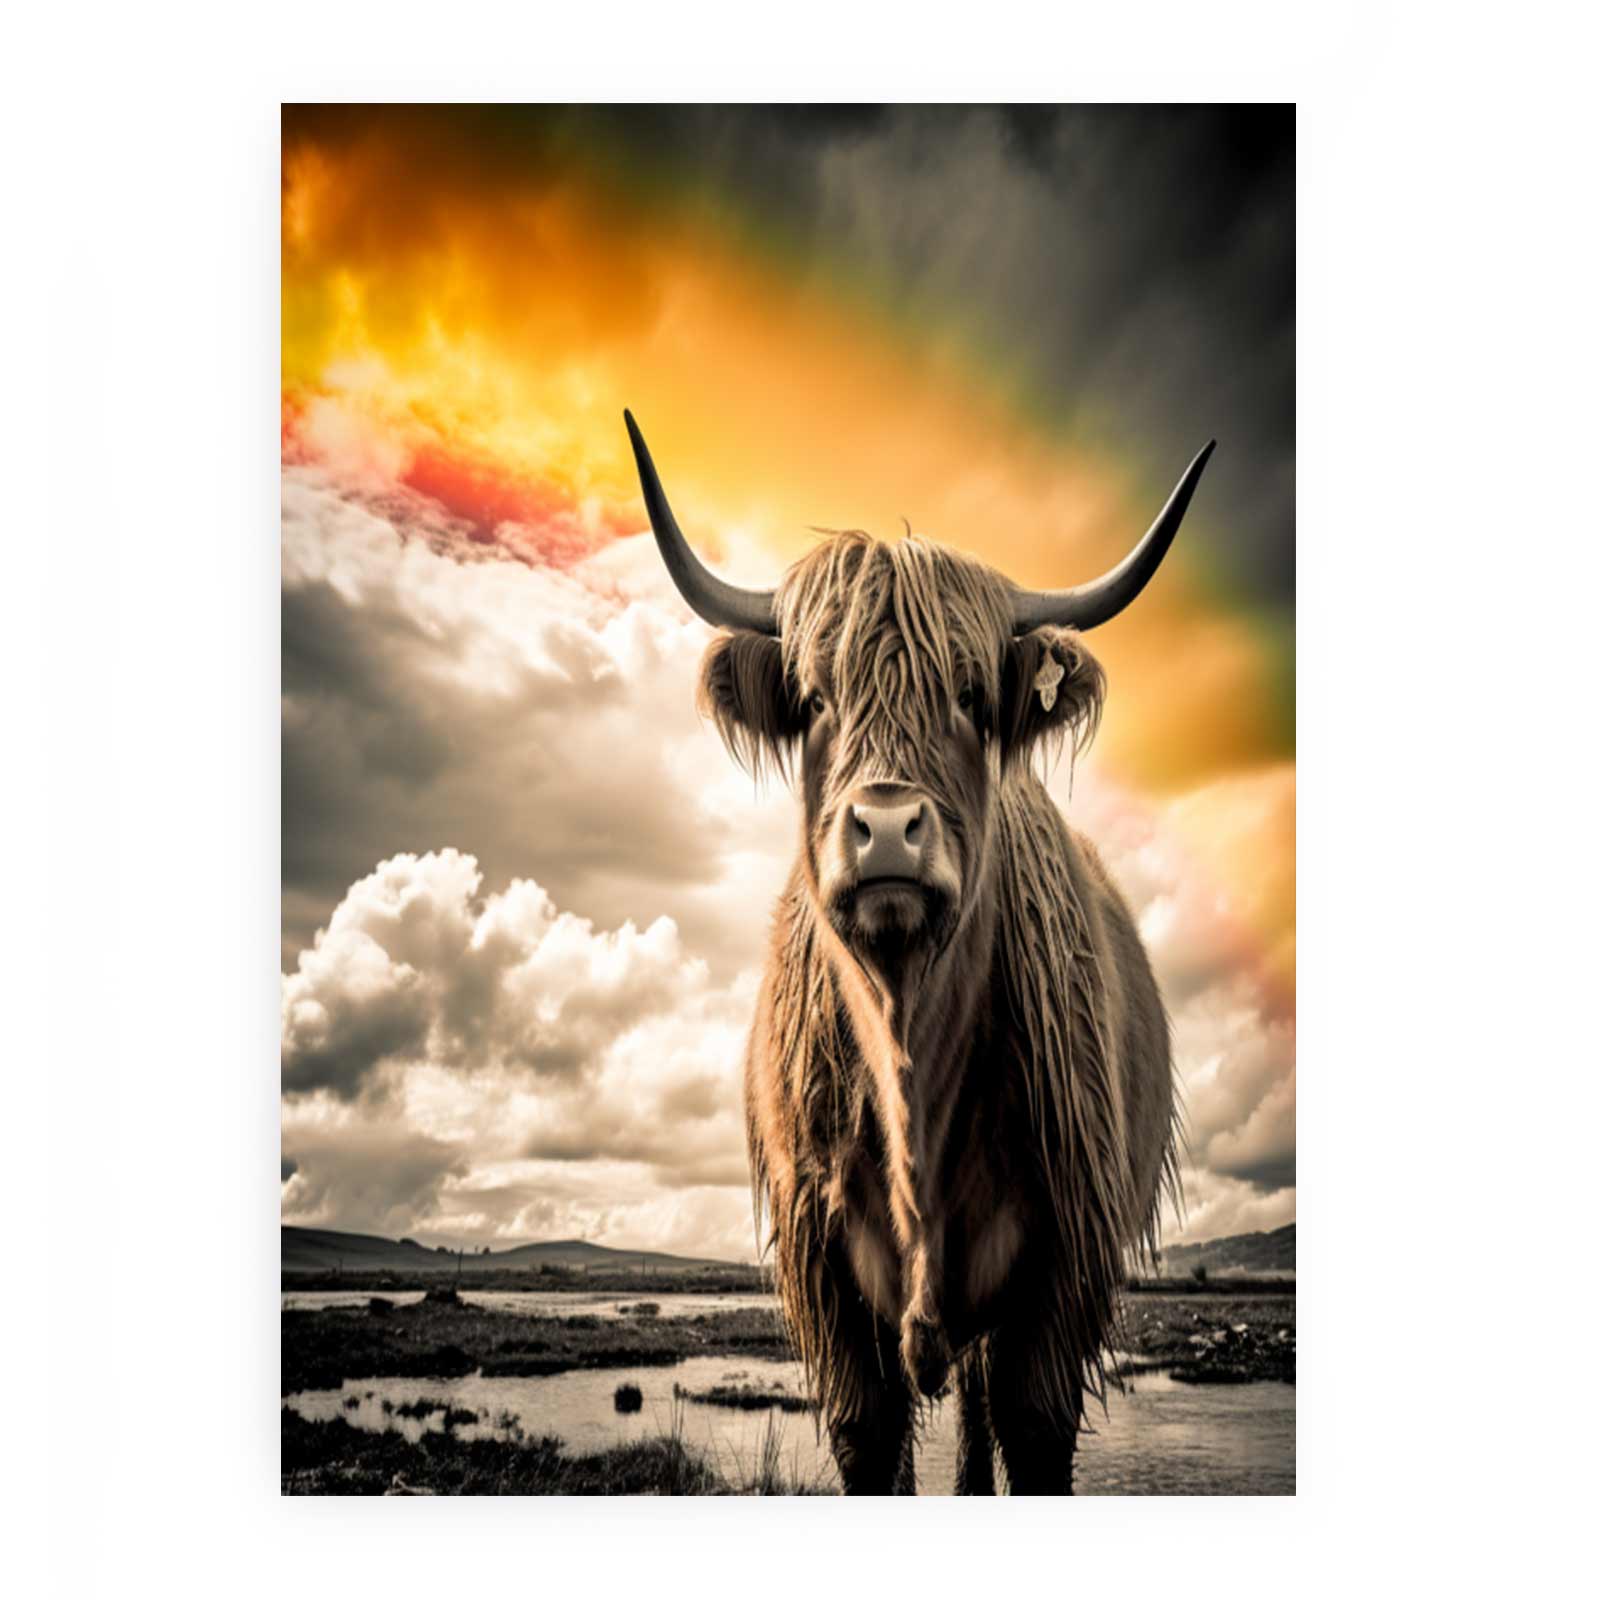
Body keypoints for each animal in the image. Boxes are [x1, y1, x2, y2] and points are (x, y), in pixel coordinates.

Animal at [624, 411, 1213, 1495]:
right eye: (814, 698)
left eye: (973, 696)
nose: (888, 829)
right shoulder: (826, 1276)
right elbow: (868, 1438)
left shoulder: (1060, 1269)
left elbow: (1031, 1428)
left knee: (978, 1412)